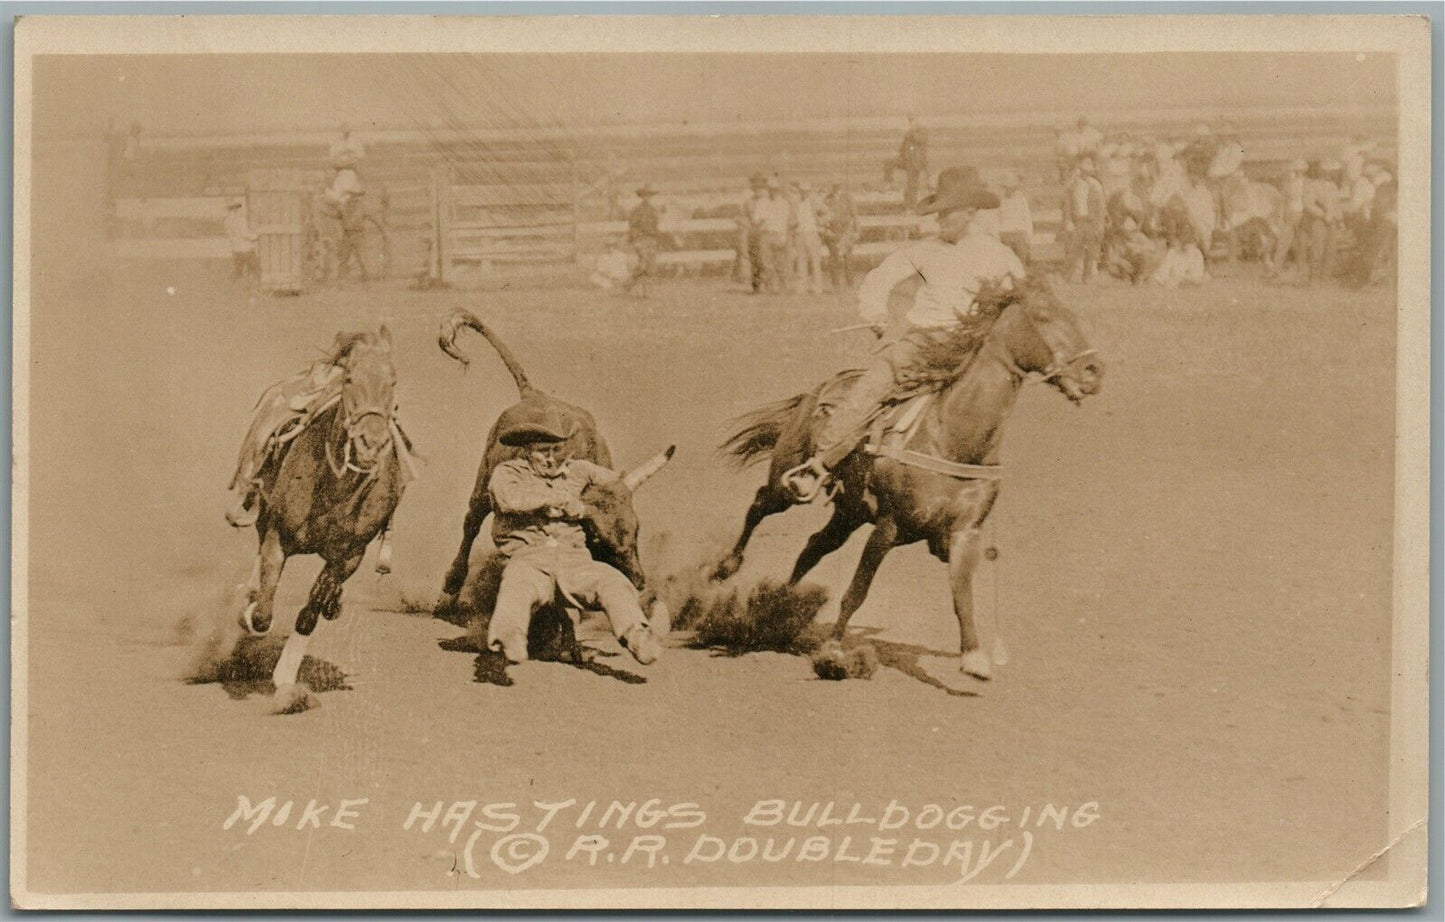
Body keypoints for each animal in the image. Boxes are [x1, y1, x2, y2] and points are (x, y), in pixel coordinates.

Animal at [239, 327, 407, 708]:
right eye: (349, 379)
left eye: (393, 381)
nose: (372, 442)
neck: (334, 486)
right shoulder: (278, 536)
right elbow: (263, 610)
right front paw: (251, 611)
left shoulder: (349, 556)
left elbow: (310, 611)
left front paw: (287, 678)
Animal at [714, 277, 1103, 683]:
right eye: (1043, 316)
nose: (1094, 370)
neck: (952, 437)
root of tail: (818, 390)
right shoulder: (888, 526)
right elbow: (857, 591)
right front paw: (834, 652)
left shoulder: (964, 533)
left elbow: (961, 593)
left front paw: (974, 658)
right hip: (787, 482)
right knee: (760, 503)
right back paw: (728, 569)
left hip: (849, 513)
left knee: (814, 546)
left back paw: (777, 605)